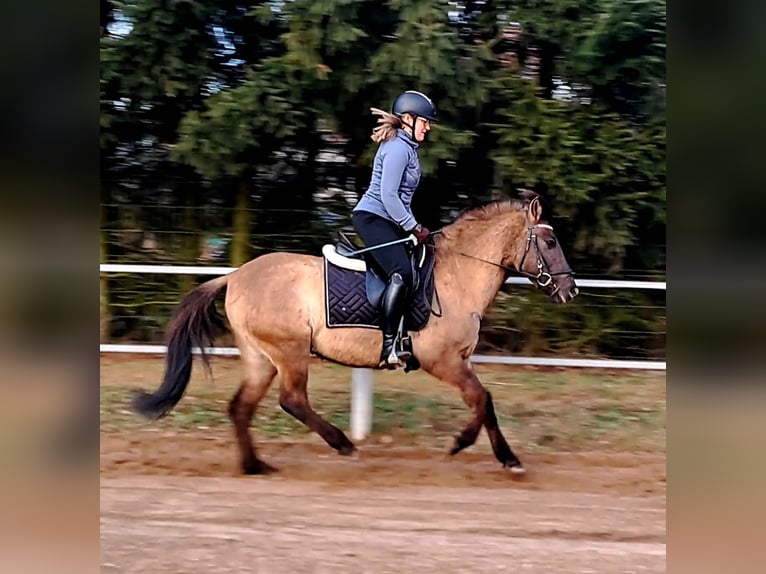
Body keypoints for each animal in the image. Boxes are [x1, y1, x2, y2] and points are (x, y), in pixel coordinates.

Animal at [132, 191, 578, 475]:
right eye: (549, 241)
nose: (570, 289)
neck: (458, 275)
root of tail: (236, 275)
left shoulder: (458, 362)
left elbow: (484, 402)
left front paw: (499, 455)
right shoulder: (443, 361)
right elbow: (482, 400)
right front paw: (470, 446)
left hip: (262, 358)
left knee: (241, 407)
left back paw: (255, 465)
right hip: (290, 352)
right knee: (292, 400)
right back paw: (343, 443)